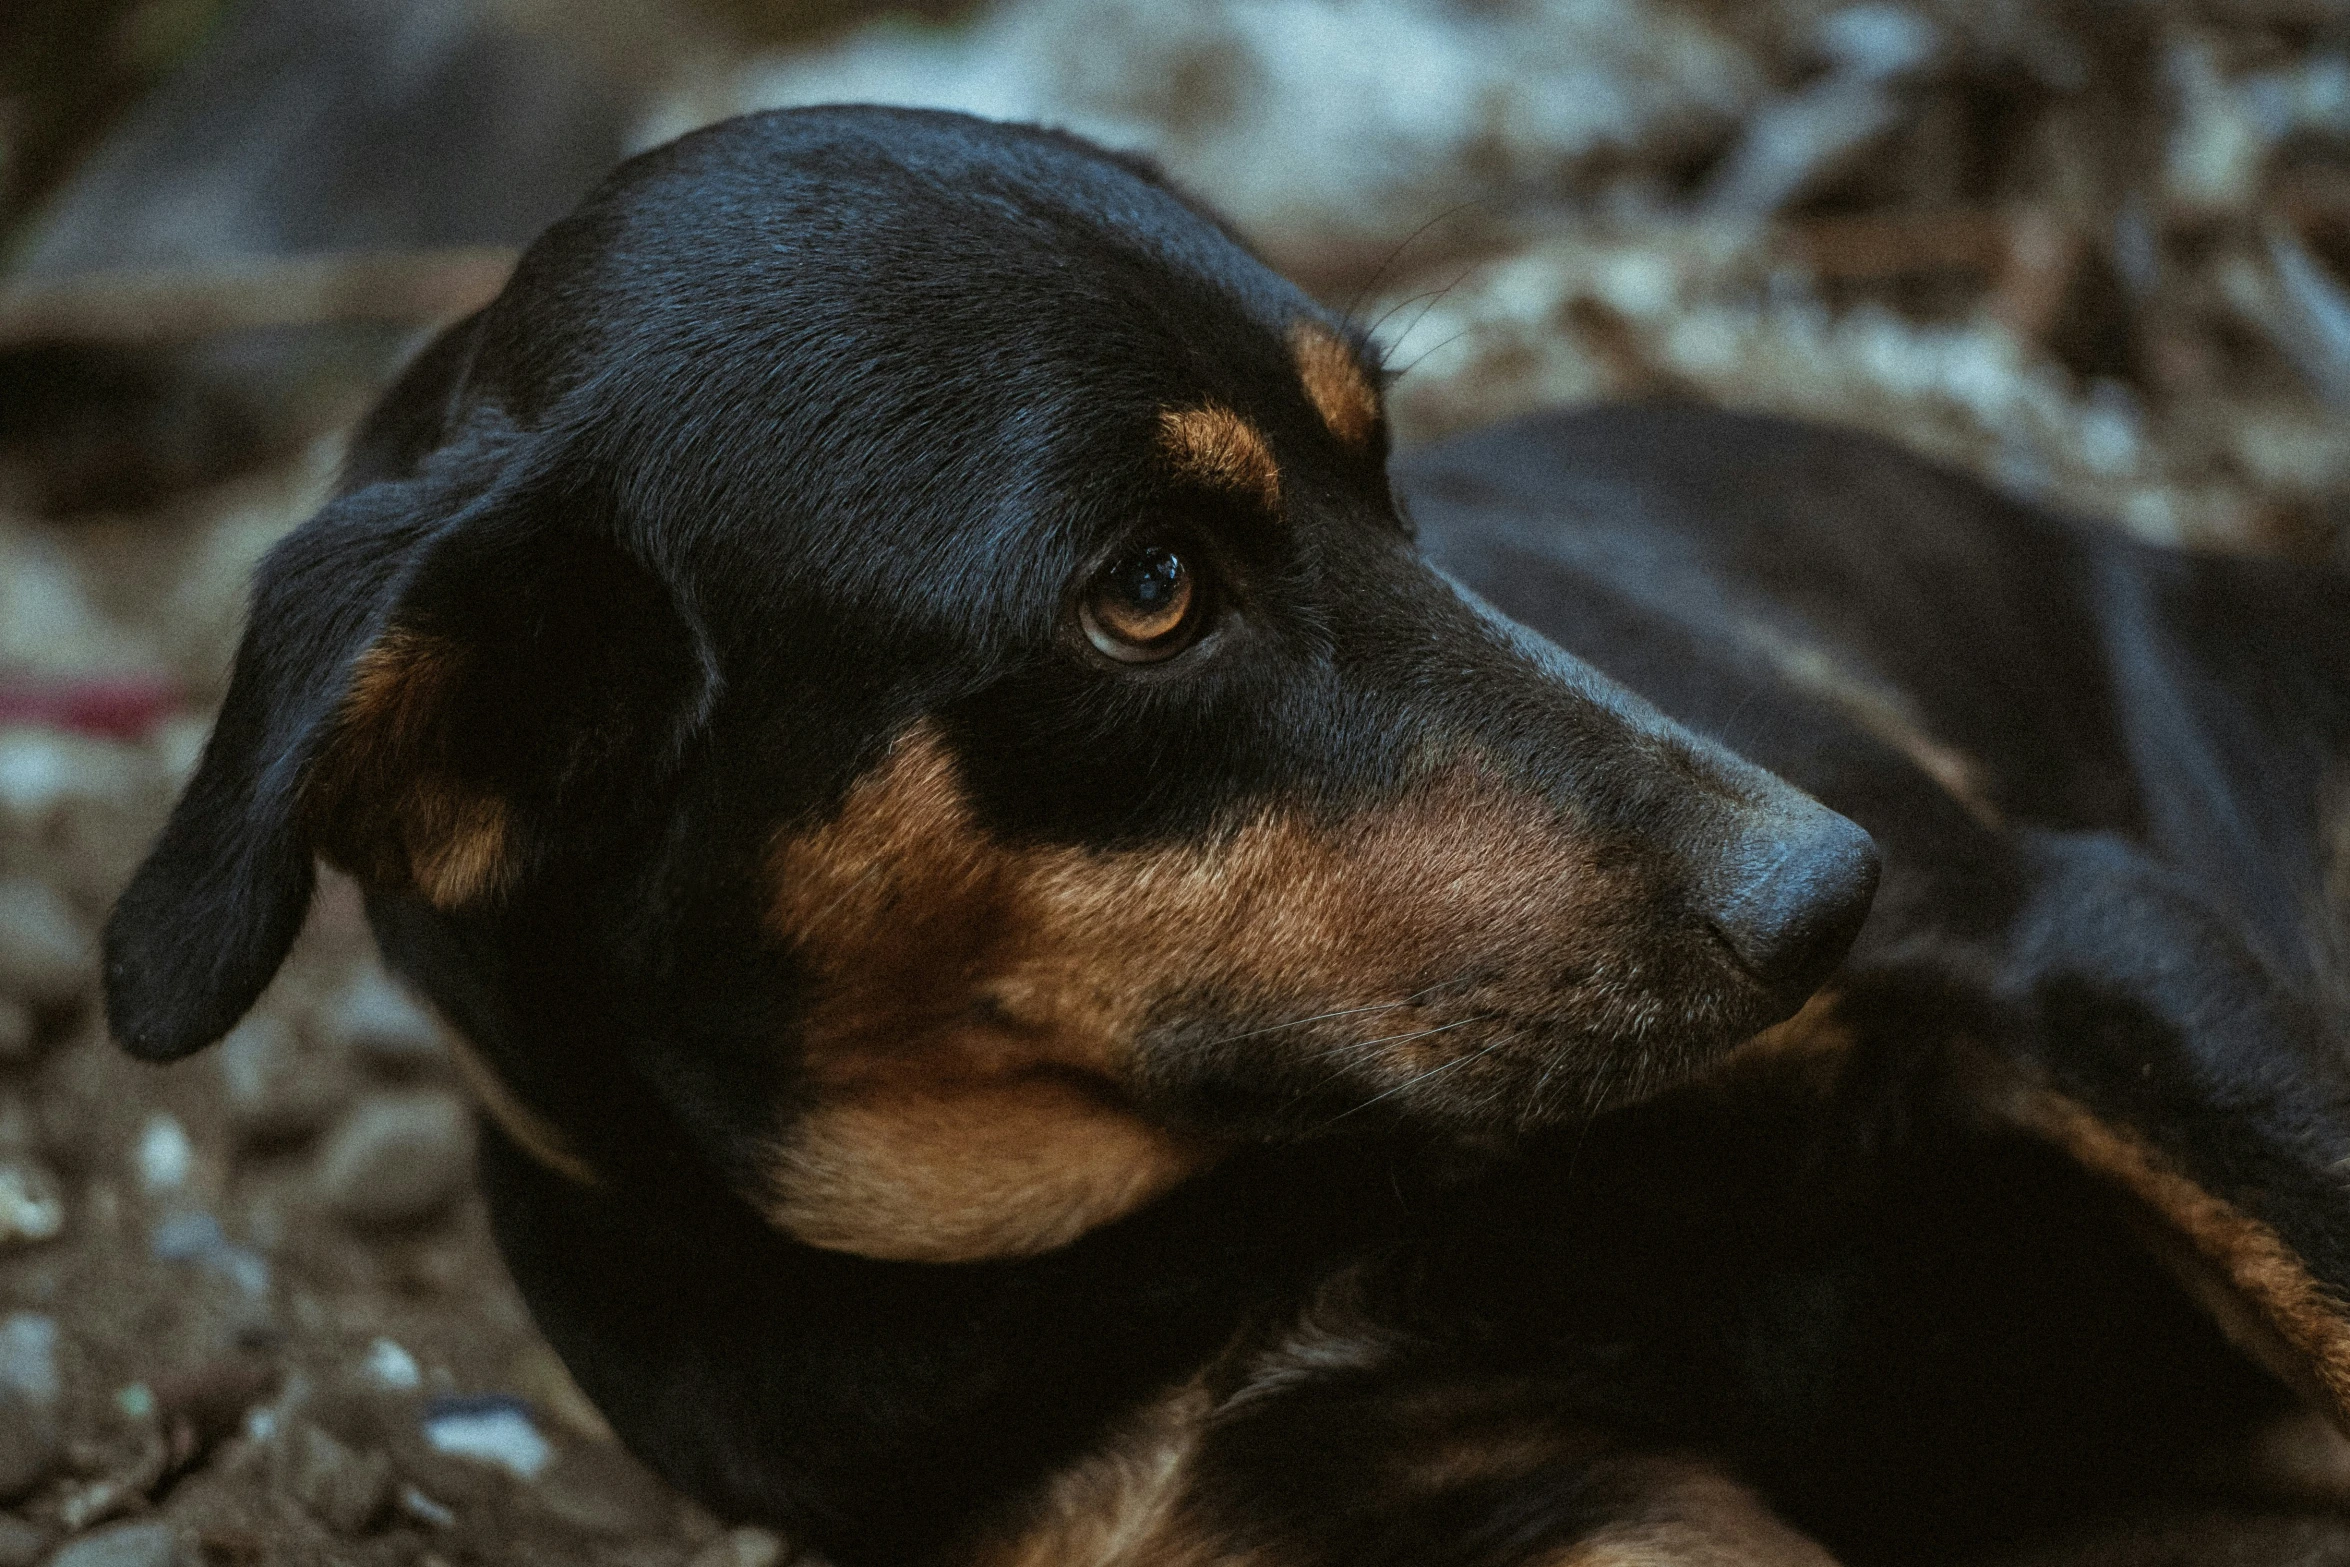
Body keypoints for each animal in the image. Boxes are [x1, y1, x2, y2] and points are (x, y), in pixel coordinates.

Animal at [101, 103, 2350, 1559]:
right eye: (1148, 589)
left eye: (1384, 468)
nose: (1832, 893)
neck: (1204, 1227)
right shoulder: (1468, 1495)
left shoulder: (2075, 944)